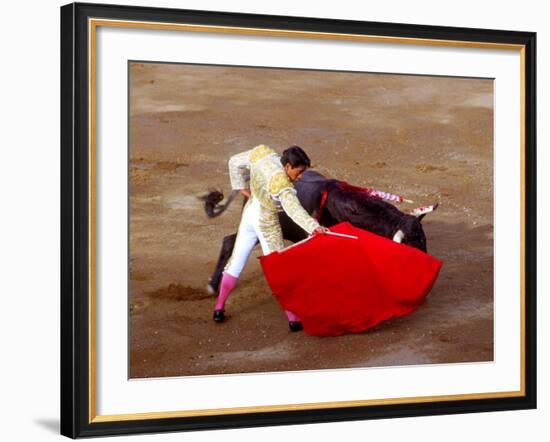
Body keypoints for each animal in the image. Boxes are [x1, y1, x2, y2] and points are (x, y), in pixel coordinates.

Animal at [204, 169, 432, 294]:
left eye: (424, 241)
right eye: (410, 250)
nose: (427, 279)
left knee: (229, 241)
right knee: (231, 243)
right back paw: (214, 286)